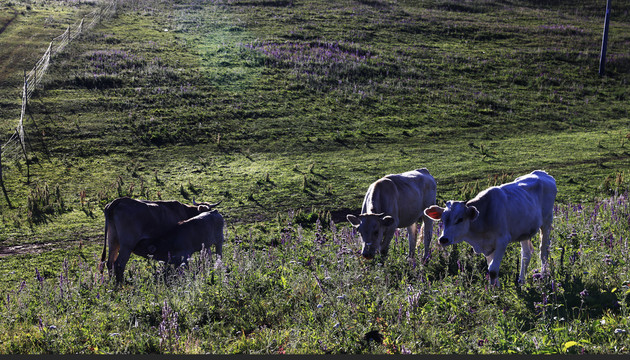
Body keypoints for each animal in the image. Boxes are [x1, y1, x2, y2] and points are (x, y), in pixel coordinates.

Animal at [424, 169, 556, 286]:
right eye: (442, 219)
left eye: (460, 219)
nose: (443, 239)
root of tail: (543, 173)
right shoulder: (487, 246)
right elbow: (491, 268)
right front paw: (494, 289)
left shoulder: (502, 241)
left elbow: (492, 270)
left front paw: (495, 293)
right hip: (524, 231)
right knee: (526, 255)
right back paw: (521, 281)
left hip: (546, 223)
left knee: (543, 252)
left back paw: (543, 276)